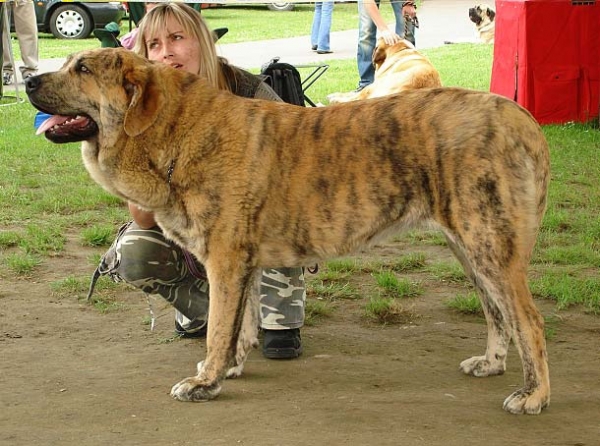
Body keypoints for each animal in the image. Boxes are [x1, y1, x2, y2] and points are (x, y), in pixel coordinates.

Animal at [28, 48, 552, 414]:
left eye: (82, 69)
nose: (29, 79)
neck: (176, 131)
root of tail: (521, 119)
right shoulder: (241, 264)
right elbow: (237, 327)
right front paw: (228, 369)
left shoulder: (225, 260)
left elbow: (218, 329)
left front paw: (205, 383)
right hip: (470, 248)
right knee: (498, 314)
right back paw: (492, 364)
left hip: (490, 246)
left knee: (529, 320)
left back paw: (534, 395)